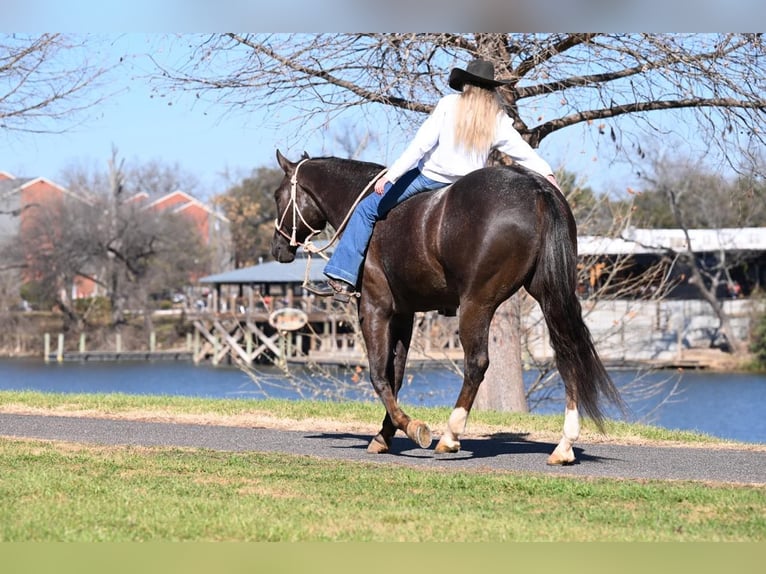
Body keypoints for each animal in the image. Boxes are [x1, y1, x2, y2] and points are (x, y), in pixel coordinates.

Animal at [271, 150, 623, 465]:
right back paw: (564, 445)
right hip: (551, 297)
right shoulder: (404, 314)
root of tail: (536, 188)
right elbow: (396, 374)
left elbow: (379, 374)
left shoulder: (374, 308)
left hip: (476, 304)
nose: (277, 248)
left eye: (277, 195)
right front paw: (386, 433)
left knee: (476, 363)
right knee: (567, 352)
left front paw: (411, 426)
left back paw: (452, 435)